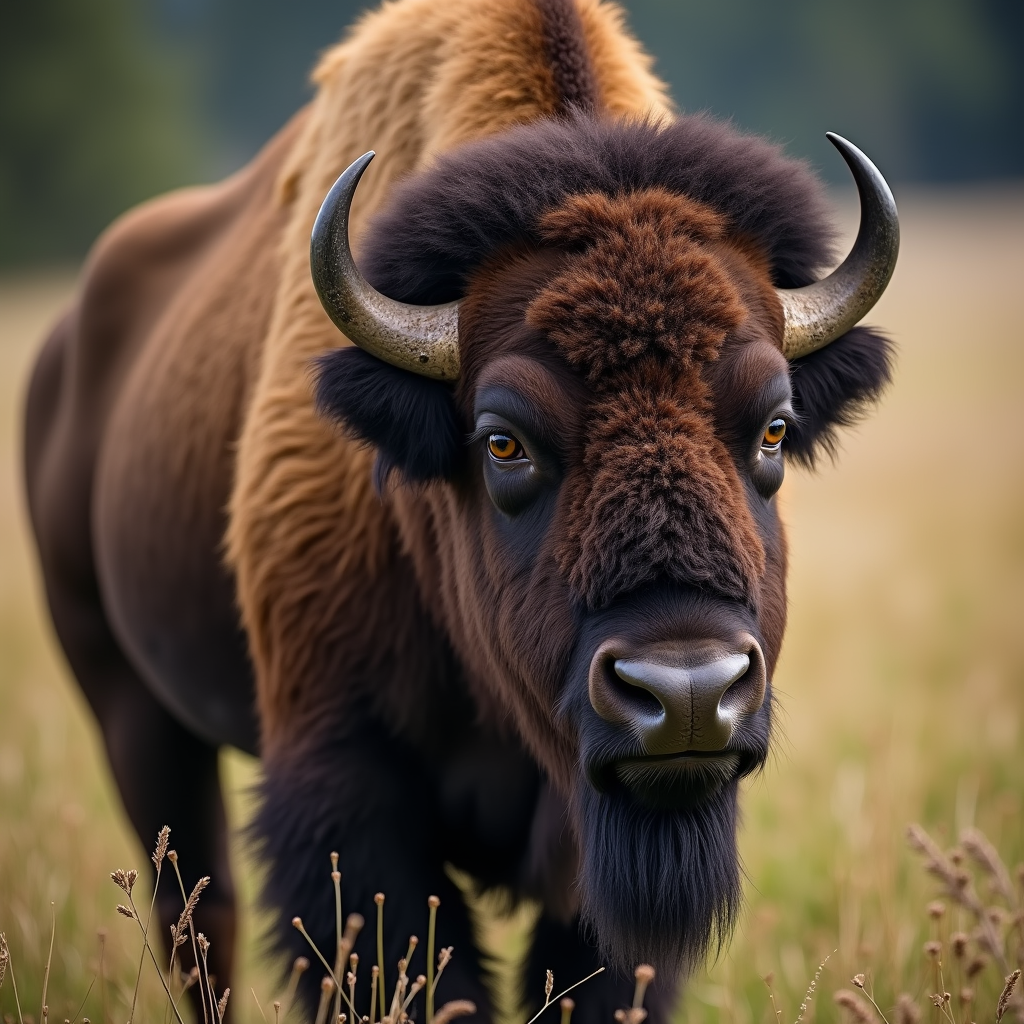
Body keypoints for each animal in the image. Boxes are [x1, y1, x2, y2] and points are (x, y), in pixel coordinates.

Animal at [23, 0, 898, 1019]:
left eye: (773, 429)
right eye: (501, 441)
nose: (685, 694)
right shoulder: (347, 792)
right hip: (130, 709)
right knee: (198, 919)